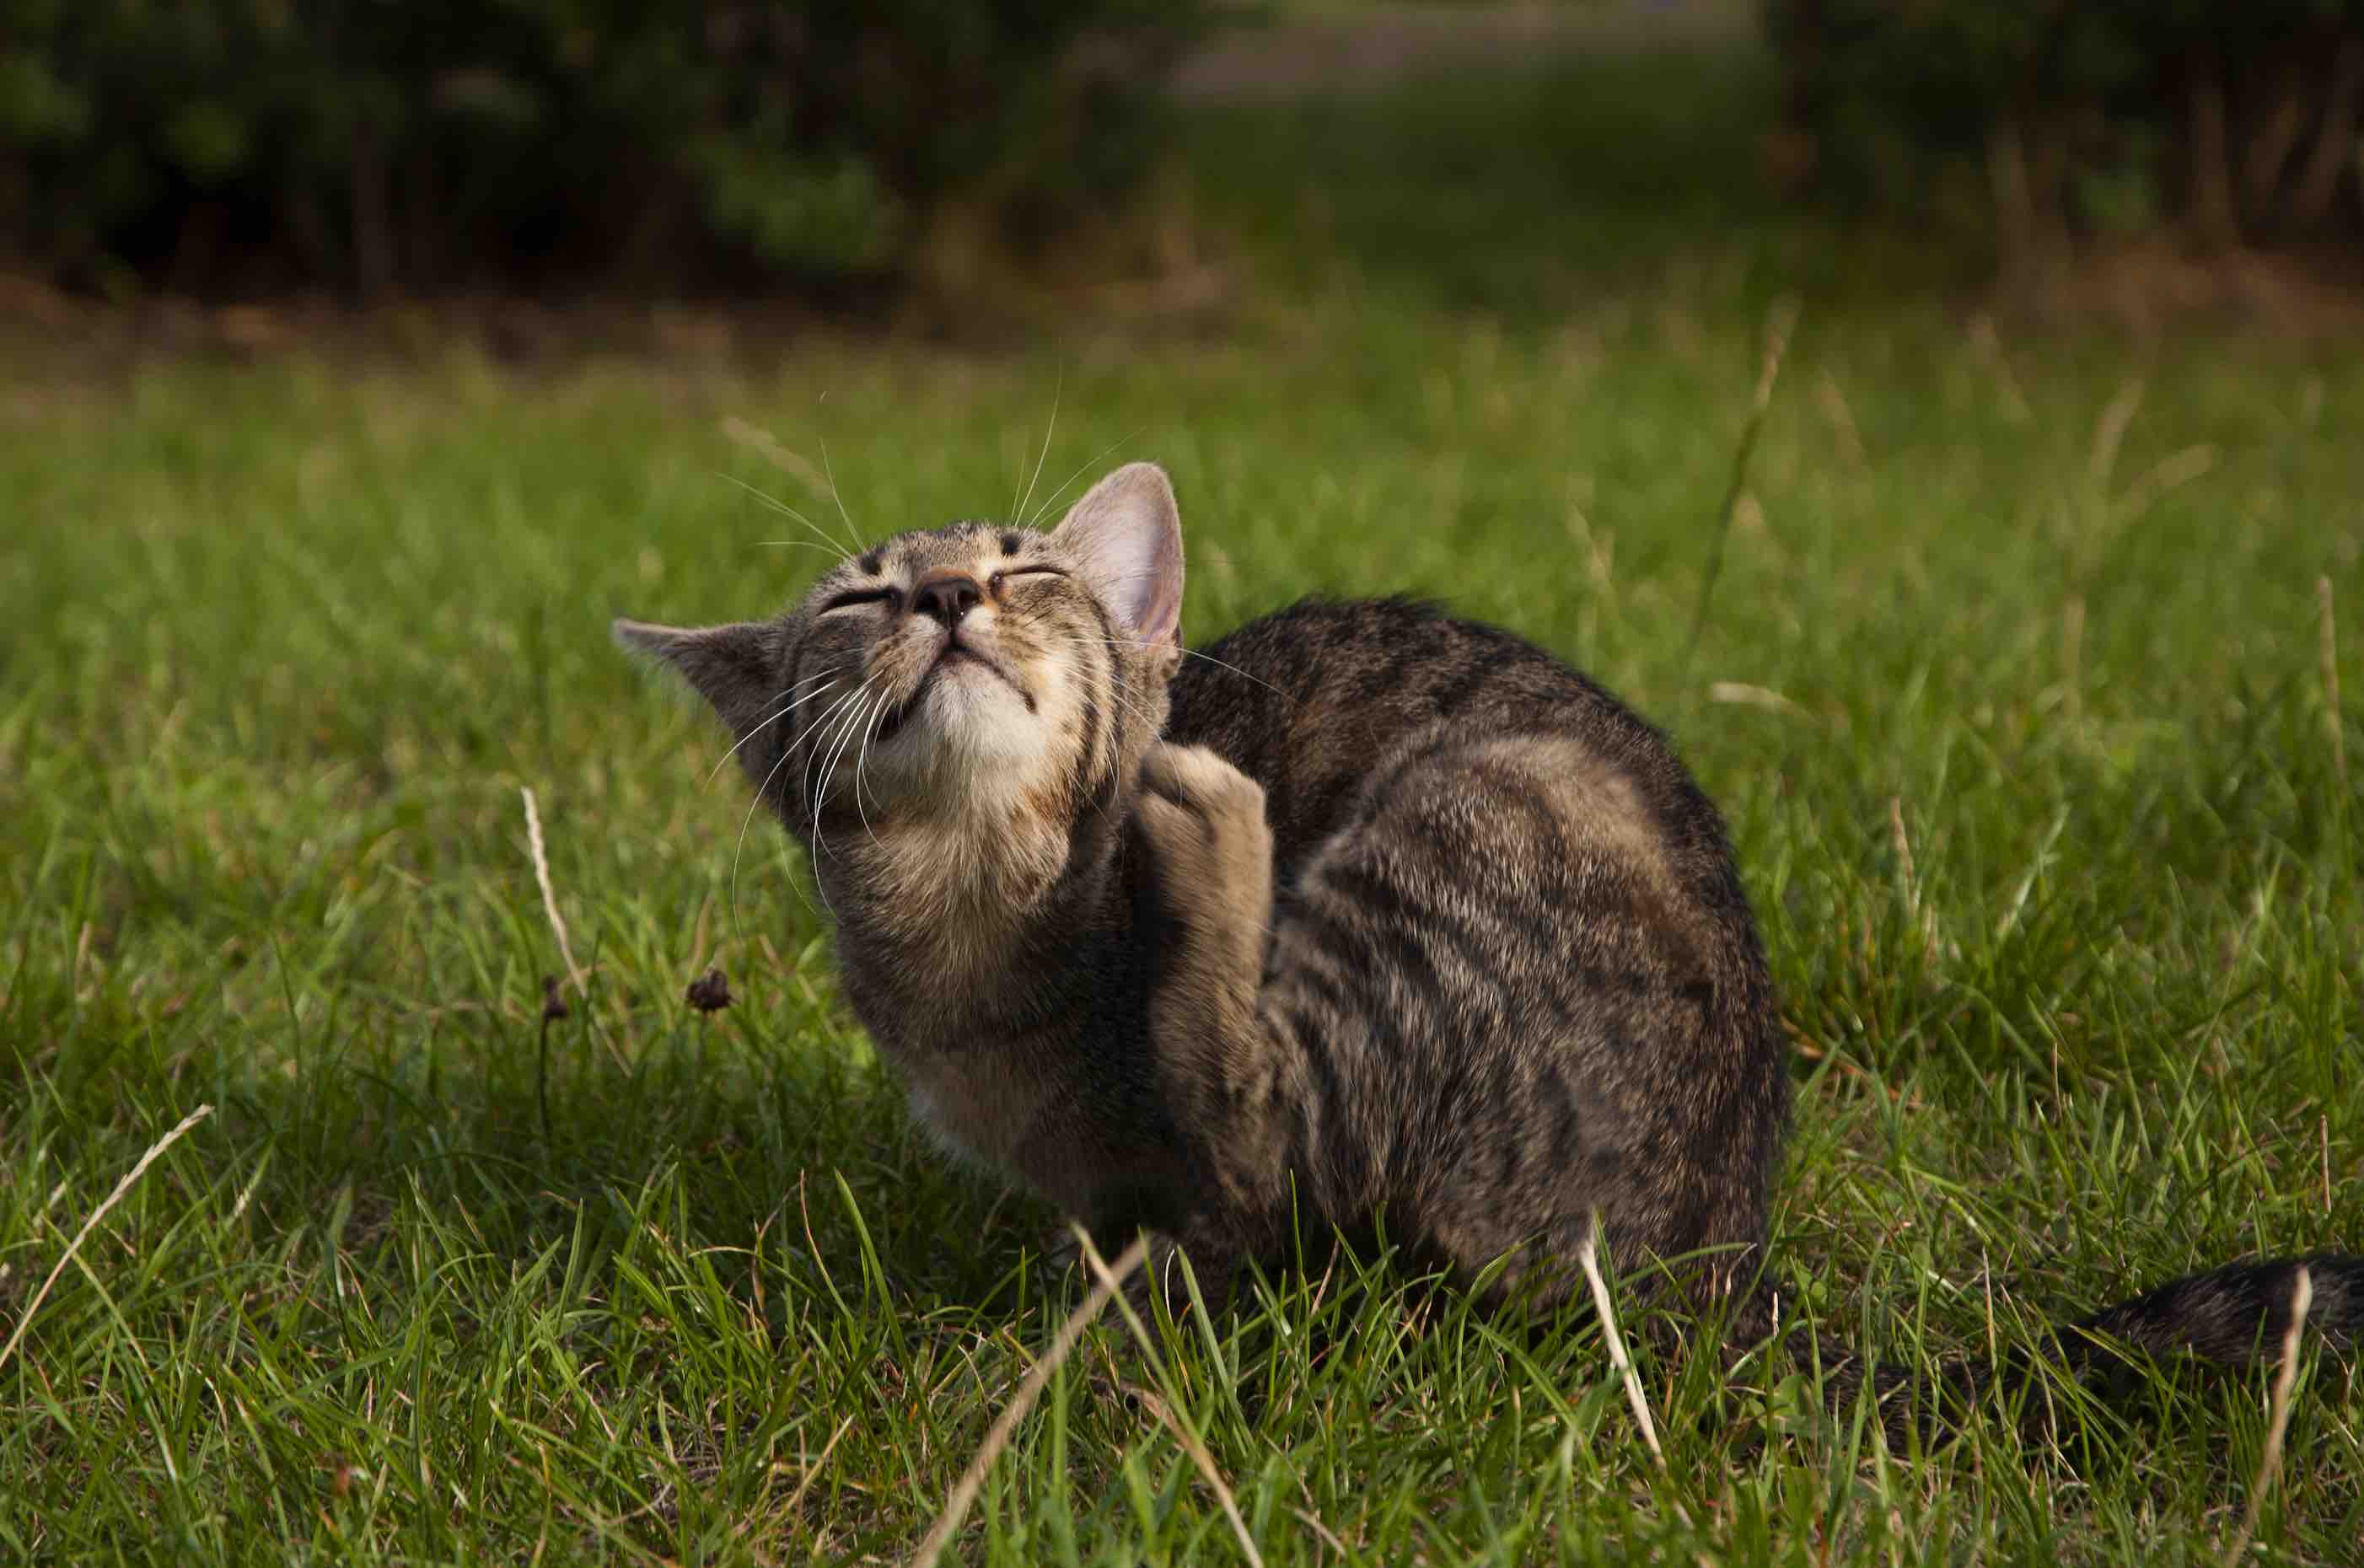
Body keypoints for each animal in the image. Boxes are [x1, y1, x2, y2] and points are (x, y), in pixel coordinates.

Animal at [619, 463, 2354, 1437]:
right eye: (854, 603)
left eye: (1026, 567)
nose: (944, 593)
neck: (977, 906)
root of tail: (1720, 1281)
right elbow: (1120, 1228)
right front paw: (1086, 1293)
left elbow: (1211, 1191)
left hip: (1465, 821)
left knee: (1259, 1106)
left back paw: (1218, 832)